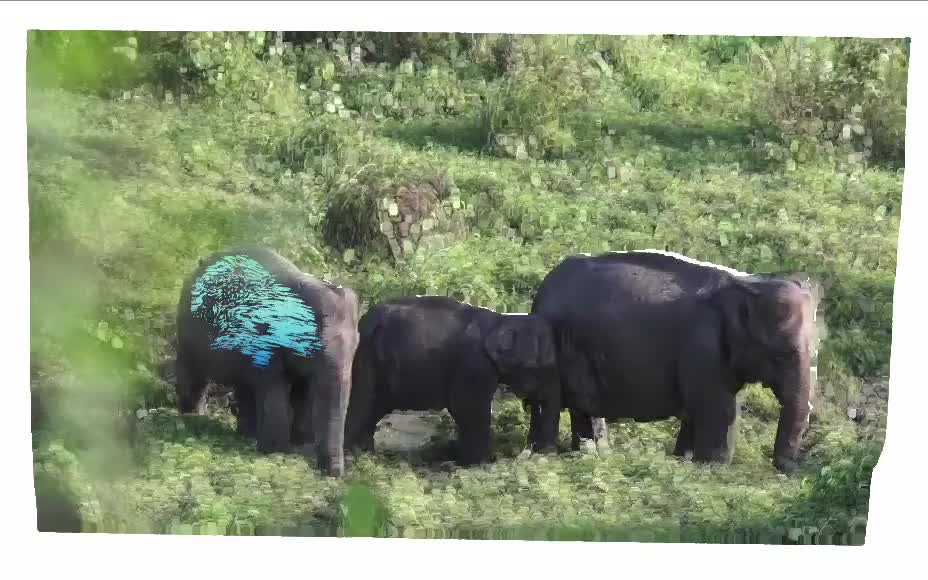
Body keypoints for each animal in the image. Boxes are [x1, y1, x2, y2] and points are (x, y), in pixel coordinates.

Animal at [174, 246, 360, 477]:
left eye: (356, 346)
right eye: (315, 346)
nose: (334, 475)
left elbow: (302, 394)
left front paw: (297, 446)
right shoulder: (263, 341)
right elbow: (274, 391)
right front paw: (277, 454)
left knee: (243, 387)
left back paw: (246, 435)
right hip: (187, 328)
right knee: (195, 374)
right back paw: (192, 419)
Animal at [344, 295, 561, 465]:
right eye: (540, 368)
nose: (540, 451)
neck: (502, 319)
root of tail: (365, 320)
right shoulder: (473, 365)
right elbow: (468, 409)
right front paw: (476, 463)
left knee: (373, 408)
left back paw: (368, 456)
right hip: (364, 358)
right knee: (362, 403)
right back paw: (353, 457)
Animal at [525, 250, 818, 473]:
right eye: (780, 355)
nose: (785, 469)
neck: (747, 284)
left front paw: (683, 460)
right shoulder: (704, 346)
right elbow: (719, 408)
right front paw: (714, 469)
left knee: (583, 407)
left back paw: (592, 454)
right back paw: (548, 456)